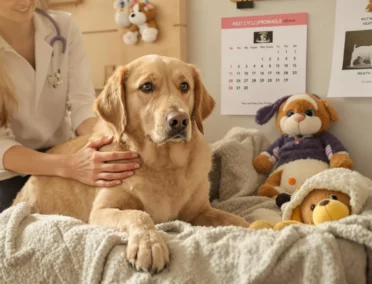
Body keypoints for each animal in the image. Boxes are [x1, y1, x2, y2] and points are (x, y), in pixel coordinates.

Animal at [13, 54, 248, 274]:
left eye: (184, 86)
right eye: (147, 86)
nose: (179, 120)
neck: (163, 165)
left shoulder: (200, 212)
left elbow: (235, 220)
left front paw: (252, 229)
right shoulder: (100, 211)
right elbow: (139, 214)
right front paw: (149, 244)